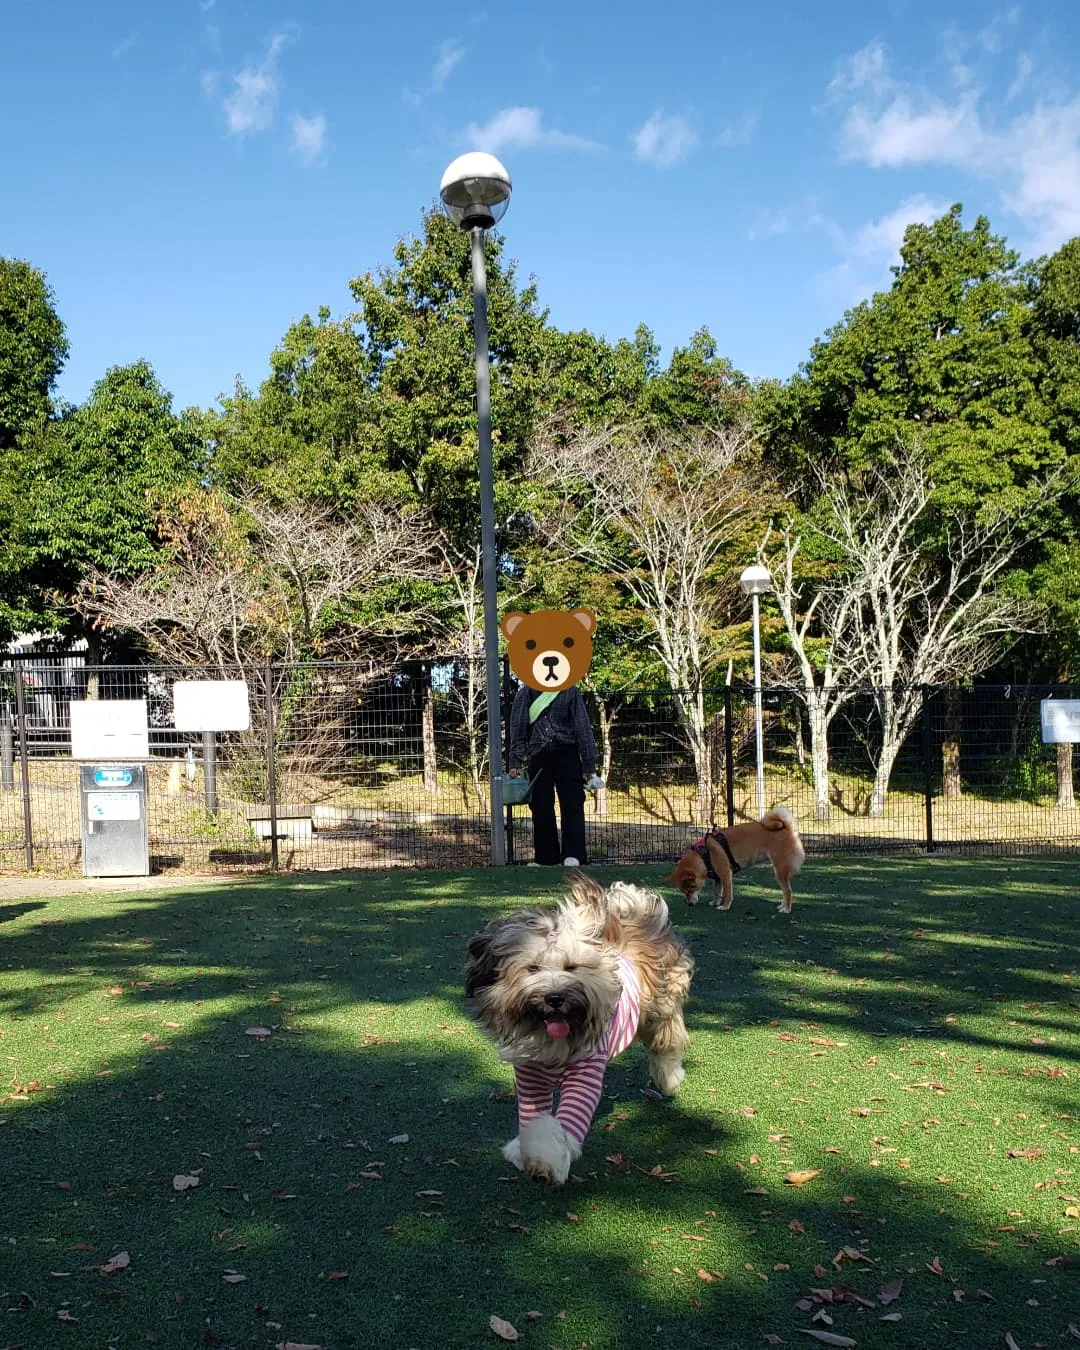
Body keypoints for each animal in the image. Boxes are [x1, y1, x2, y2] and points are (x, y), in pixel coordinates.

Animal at [661, 804, 804, 912]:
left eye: (691, 889)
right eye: (684, 892)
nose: (689, 904)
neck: (704, 854)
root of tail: (787, 828)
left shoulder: (725, 874)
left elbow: (727, 893)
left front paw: (724, 906)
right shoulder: (717, 878)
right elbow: (716, 892)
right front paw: (715, 902)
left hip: (780, 869)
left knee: (788, 891)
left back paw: (786, 909)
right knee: (786, 891)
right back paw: (782, 905)